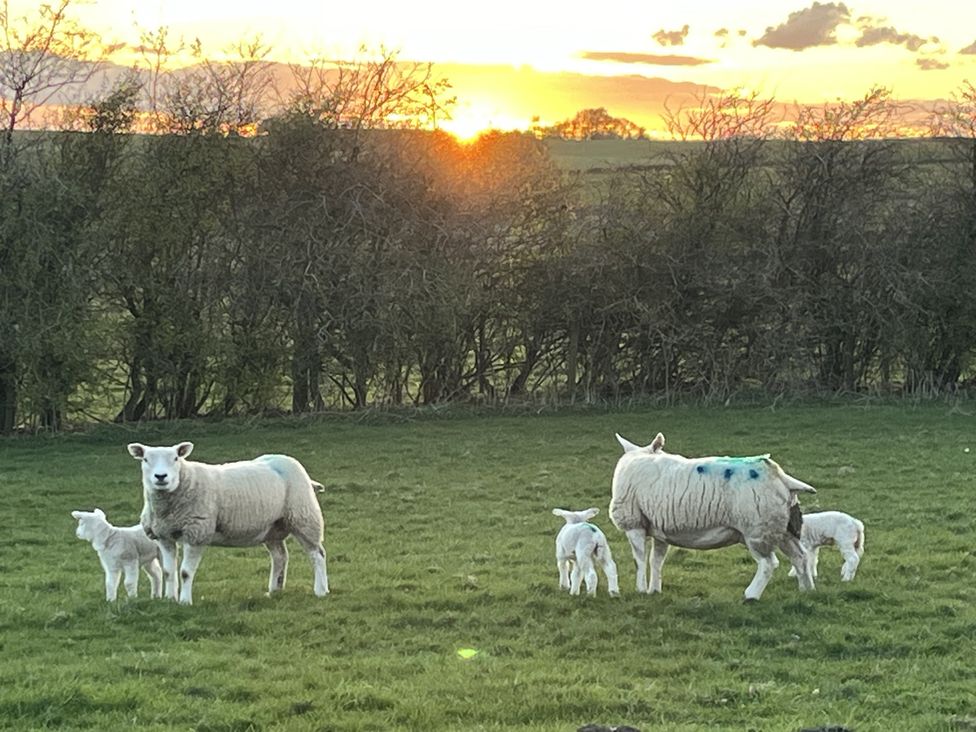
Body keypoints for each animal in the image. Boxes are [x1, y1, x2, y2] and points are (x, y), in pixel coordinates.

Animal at [127, 441, 329, 605]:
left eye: (176, 458)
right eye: (145, 459)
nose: (161, 476)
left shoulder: (197, 533)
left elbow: (185, 572)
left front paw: (184, 602)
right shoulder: (164, 536)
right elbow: (168, 572)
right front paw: (170, 599)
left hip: (304, 516)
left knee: (317, 554)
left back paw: (321, 590)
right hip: (272, 527)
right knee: (280, 556)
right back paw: (274, 590)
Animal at [610, 432, 817, 601]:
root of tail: (782, 477)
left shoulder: (633, 522)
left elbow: (639, 559)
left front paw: (641, 590)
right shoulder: (661, 528)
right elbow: (656, 560)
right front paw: (654, 590)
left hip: (758, 530)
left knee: (768, 563)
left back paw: (751, 595)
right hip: (782, 529)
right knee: (800, 557)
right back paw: (806, 590)